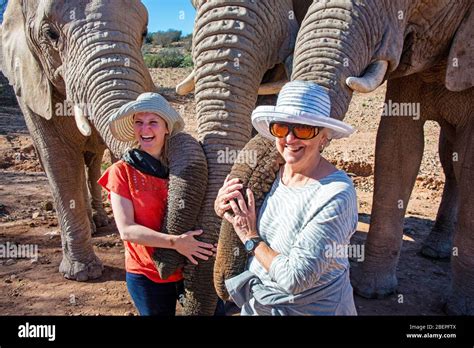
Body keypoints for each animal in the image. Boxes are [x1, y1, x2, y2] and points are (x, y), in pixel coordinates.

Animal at [0, 0, 211, 314]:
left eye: (144, 32)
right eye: (50, 34)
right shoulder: (29, 83)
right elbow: (57, 160)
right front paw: (82, 274)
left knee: (91, 160)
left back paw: (98, 222)